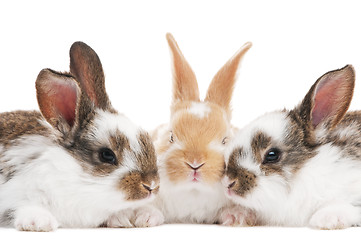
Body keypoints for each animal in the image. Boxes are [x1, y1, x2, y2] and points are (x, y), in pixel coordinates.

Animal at [129, 34, 250, 227]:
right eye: (171, 136)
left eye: (225, 140)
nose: (195, 162)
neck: (193, 193)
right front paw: (145, 218)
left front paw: (236, 216)